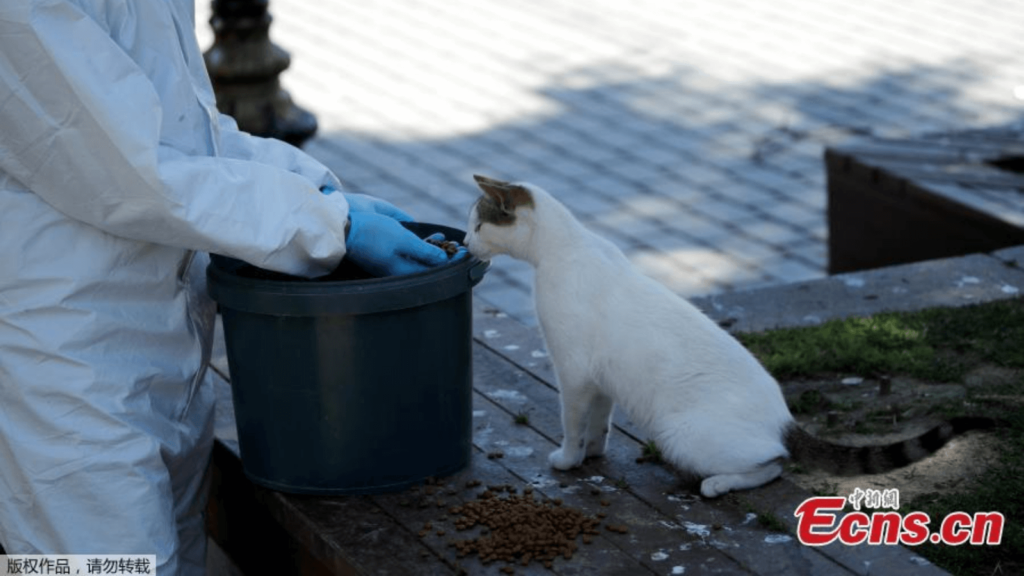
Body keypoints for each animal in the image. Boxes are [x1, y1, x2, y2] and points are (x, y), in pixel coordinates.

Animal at [466, 172, 991, 496]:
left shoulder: (572, 375)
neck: (562, 250)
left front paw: (568, 459)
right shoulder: (598, 381)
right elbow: (600, 423)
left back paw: (717, 485)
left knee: (773, 464)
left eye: (476, 223)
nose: (466, 242)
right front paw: (594, 454)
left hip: (677, 433)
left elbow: (574, 424)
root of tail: (785, 418)